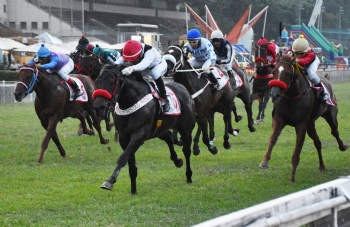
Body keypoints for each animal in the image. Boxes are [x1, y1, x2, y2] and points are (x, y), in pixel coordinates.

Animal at [93, 64, 197, 195]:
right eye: (97, 81)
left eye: (112, 82)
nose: (98, 107)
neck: (130, 102)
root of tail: (184, 89)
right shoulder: (124, 137)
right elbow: (130, 162)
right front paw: (133, 190)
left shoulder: (139, 134)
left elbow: (123, 157)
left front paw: (110, 181)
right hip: (159, 129)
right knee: (168, 138)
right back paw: (177, 160)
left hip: (185, 129)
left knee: (187, 151)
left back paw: (189, 176)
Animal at [258, 55, 348, 183]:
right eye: (273, 71)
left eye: (288, 74)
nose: (274, 94)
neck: (293, 95)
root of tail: (326, 79)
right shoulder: (279, 119)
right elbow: (273, 138)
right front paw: (264, 161)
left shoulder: (301, 125)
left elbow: (298, 148)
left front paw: (292, 177)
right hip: (311, 124)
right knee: (317, 142)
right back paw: (321, 166)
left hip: (330, 114)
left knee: (334, 131)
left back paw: (343, 146)